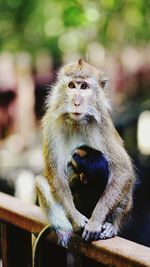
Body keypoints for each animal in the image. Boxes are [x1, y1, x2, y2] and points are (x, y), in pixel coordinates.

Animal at [34, 59, 135, 244]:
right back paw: (64, 229)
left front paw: (96, 221)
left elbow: (123, 172)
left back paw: (110, 225)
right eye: (72, 86)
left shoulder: (103, 124)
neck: (77, 121)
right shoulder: (51, 123)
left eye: (84, 87)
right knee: (40, 182)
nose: (76, 102)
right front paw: (77, 219)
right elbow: (56, 175)